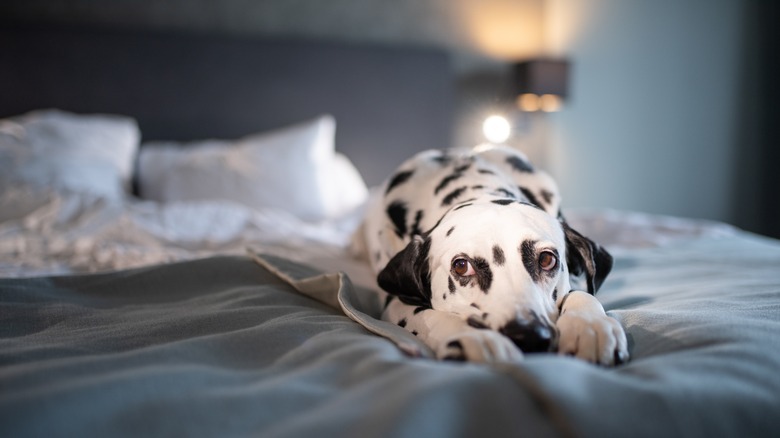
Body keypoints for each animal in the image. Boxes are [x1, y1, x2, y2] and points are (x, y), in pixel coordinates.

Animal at [354, 145, 628, 366]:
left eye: (547, 259)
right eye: (461, 266)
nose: (529, 336)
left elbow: (582, 294)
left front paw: (590, 326)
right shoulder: (394, 302)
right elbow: (427, 315)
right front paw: (475, 337)